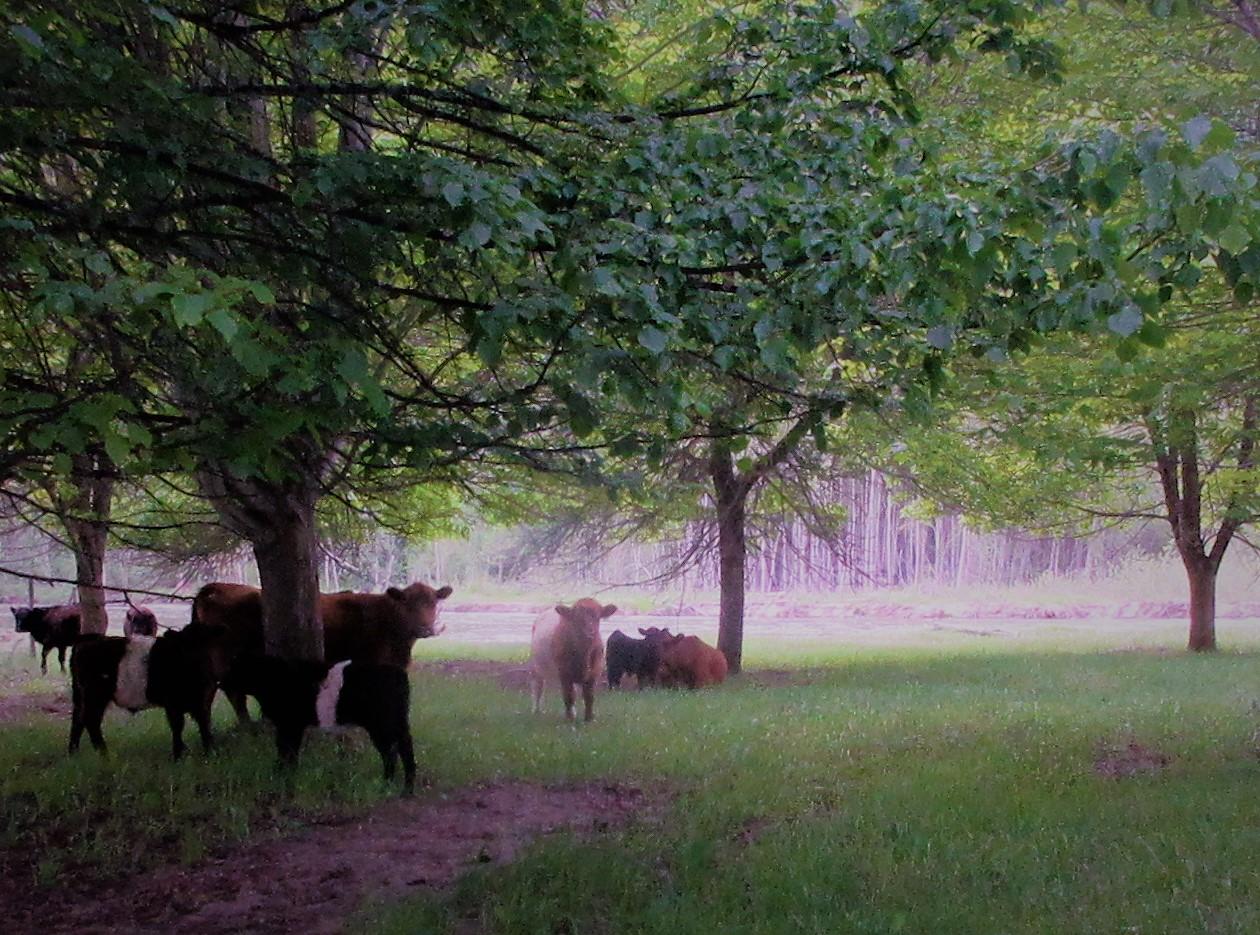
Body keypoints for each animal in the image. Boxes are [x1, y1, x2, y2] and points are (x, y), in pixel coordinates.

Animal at [68, 622, 231, 761]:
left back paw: (74, 753)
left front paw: (210, 752)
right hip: (95, 695)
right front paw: (178, 756)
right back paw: (104, 755)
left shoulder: (202, 702)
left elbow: (205, 725)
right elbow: (178, 726)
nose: (196, 660)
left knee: (78, 720)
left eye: (206, 642)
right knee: (90, 720)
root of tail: (87, 639)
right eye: (184, 645)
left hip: (81, 695)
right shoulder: (172, 703)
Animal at [191, 582, 453, 730]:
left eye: (433, 602)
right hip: (227, 658)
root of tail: (217, 586)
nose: (425, 628)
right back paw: (245, 725)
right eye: (407, 603)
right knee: (229, 691)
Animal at [226, 655, 418, 796]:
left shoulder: (290, 725)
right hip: (396, 723)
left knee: (391, 752)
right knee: (402, 749)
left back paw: (391, 784)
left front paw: (284, 776)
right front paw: (282, 774)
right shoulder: (288, 726)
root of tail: (398, 672)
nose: (223, 682)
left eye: (238, 670)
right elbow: (286, 750)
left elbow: (288, 750)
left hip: (381, 725)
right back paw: (405, 787)